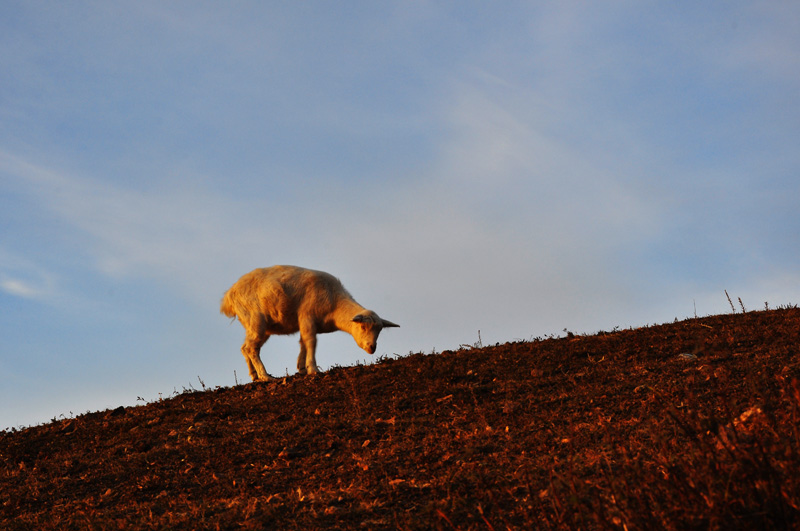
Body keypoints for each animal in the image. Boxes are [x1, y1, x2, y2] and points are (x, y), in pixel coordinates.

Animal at [220, 268, 398, 380]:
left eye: (380, 331)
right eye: (363, 326)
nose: (372, 348)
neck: (335, 304)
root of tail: (230, 295)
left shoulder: (306, 322)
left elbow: (303, 343)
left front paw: (302, 368)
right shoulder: (307, 316)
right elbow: (311, 342)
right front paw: (313, 369)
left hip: (258, 325)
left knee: (245, 347)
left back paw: (254, 375)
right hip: (256, 319)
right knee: (251, 348)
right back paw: (265, 376)